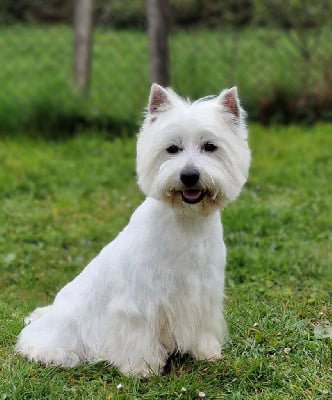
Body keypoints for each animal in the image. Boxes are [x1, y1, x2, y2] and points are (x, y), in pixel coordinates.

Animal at [15, 84, 249, 376]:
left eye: (210, 147)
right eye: (172, 148)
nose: (189, 176)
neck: (186, 222)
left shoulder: (204, 295)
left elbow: (203, 328)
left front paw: (207, 353)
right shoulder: (138, 302)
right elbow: (139, 335)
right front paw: (143, 369)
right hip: (64, 328)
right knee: (37, 342)